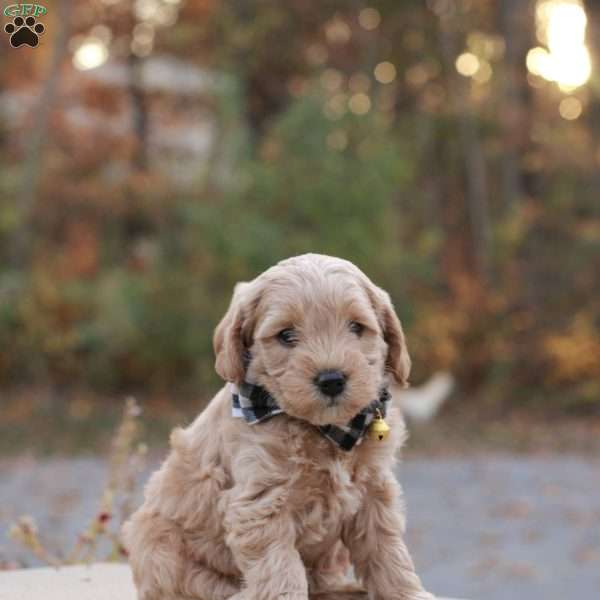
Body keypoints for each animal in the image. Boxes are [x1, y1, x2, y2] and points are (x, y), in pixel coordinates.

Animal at [123, 254, 432, 600]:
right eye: (286, 335)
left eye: (356, 327)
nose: (332, 379)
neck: (324, 430)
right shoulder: (260, 505)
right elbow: (281, 571)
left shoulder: (374, 493)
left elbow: (388, 553)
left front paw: (407, 593)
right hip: (156, 543)